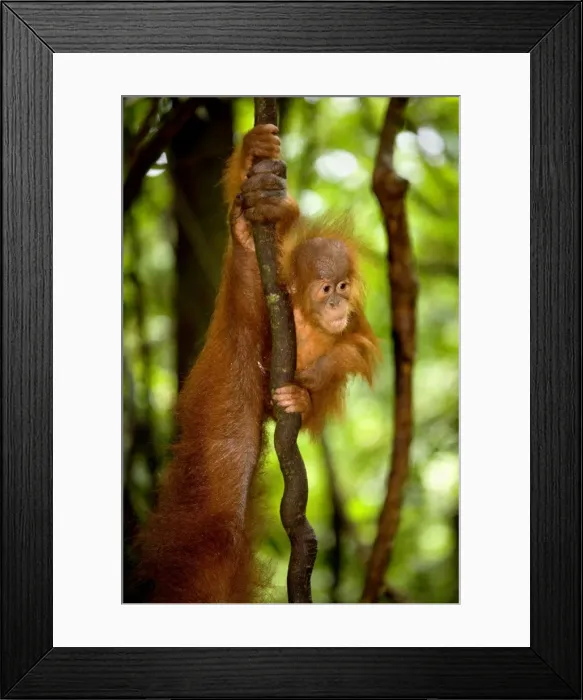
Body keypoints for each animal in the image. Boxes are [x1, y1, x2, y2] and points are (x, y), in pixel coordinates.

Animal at [136, 123, 379, 603]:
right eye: (326, 288)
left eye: (343, 285)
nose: (337, 301)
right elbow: (251, 305)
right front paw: (256, 157)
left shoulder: (354, 323)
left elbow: (355, 349)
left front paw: (306, 387)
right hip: (222, 380)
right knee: (218, 506)